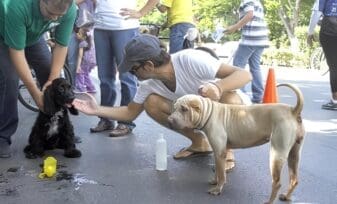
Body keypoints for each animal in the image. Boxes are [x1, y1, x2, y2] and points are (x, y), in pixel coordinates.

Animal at [167, 83, 304, 203]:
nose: (169, 120)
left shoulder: (220, 153)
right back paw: (286, 196)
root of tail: (293, 110)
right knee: (294, 179)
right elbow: (218, 170)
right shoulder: (218, 152)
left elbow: (221, 173)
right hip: (294, 154)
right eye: (174, 108)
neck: (208, 112)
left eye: (184, 109)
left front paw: (218, 189)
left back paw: (269, 202)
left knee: (277, 183)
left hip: (276, 154)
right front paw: (215, 181)